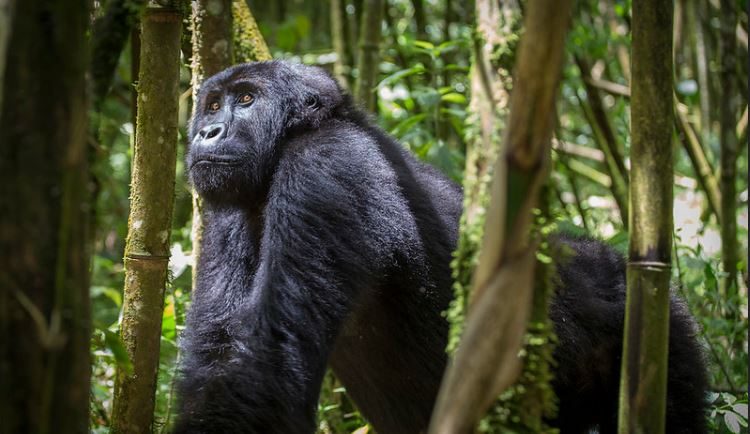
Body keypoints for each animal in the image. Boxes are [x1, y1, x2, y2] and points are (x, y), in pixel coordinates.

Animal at [178, 61, 712, 434]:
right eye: (212, 105)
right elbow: (221, 352)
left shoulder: (325, 169)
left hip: (659, 335)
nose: (207, 131)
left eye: (247, 99)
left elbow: (268, 359)